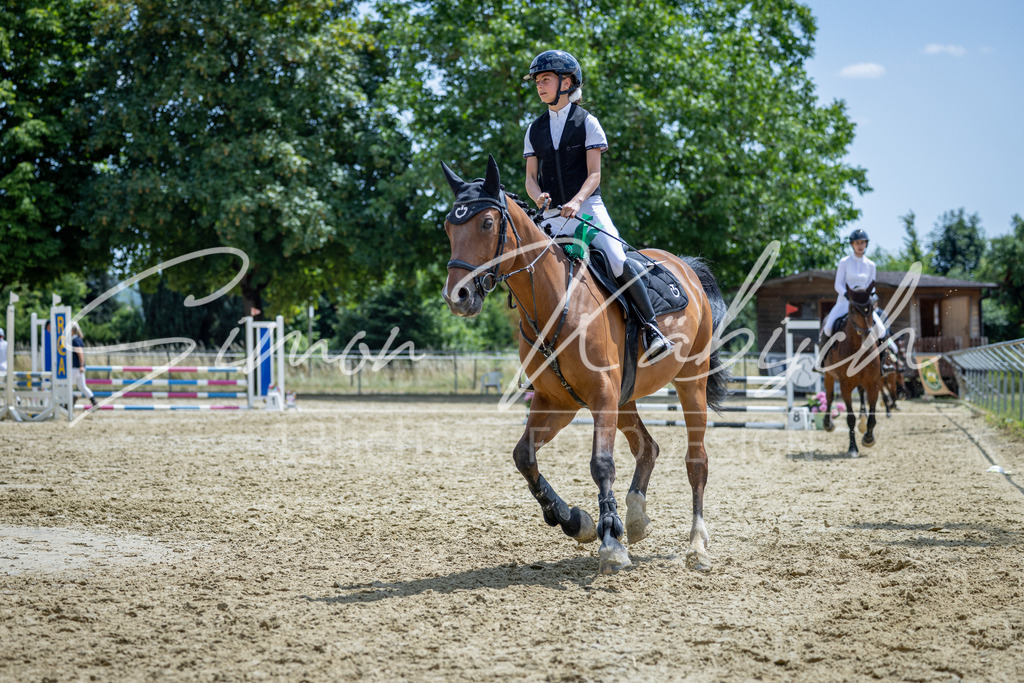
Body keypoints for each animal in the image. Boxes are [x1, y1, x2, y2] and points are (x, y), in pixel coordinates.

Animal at [440, 156, 729, 574]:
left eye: (487, 224)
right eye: (449, 226)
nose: (457, 297)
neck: (553, 301)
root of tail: (686, 267)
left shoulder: (600, 396)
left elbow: (601, 464)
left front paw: (610, 542)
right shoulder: (557, 401)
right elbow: (524, 457)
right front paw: (575, 521)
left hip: (691, 383)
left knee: (697, 462)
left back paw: (696, 547)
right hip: (626, 398)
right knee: (648, 447)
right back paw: (636, 519)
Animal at [821, 284, 881, 457]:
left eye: (871, 308)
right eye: (853, 310)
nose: (867, 336)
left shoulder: (874, 383)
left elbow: (872, 417)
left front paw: (868, 438)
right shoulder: (845, 385)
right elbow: (850, 418)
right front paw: (853, 448)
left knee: (861, 394)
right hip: (828, 375)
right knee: (829, 397)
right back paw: (828, 424)